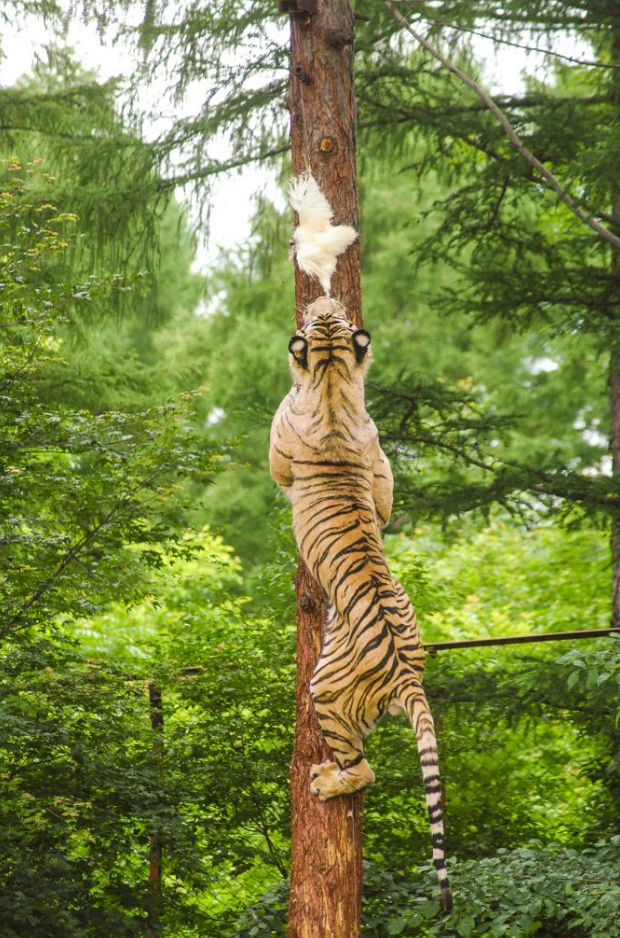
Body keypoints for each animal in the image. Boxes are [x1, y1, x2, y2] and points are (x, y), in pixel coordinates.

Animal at [268, 296, 452, 912]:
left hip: (327, 691)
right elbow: (386, 491)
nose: (324, 299)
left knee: (364, 770)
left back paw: (326, 780)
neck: (330, 376)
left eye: (325, 317)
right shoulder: (378, 467)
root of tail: (408, 676)